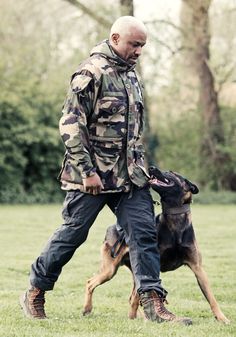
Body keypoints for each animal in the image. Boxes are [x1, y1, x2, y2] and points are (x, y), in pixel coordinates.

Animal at [82, 167, 229, 322]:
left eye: (171, 173)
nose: (151, 168)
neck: (175, 220)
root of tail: (112, 227)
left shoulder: (198, 268)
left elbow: (211, 297)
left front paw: (222, 318)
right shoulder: (152, 265)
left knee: (132, 297)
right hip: (110, 269)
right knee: (90, 283)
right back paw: (88, 309)